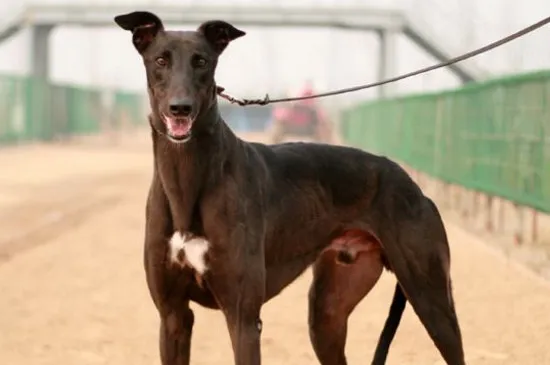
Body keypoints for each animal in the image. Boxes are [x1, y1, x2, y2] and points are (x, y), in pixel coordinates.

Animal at [114, 10, 468, 364]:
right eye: (160, 60)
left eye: (201, 61)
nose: (181, 108)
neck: (188, 180)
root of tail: (413, 185)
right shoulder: (173, 316)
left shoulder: (242, 317)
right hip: (327, 313)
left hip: (431, 298)